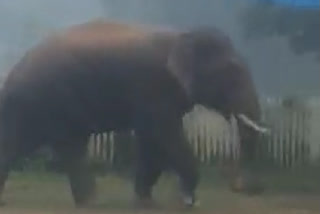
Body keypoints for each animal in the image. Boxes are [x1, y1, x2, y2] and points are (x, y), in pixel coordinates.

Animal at [0, 19, 268, 207]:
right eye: (233, 73)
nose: (240, 187)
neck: (182, 35)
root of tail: (13, 73)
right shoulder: (154, 87)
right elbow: (163, 136)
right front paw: (187, 201)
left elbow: (153, 142)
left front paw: (147, 202)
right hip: (51, 99)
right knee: (69, 146)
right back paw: (92, 203)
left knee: (23, 144)